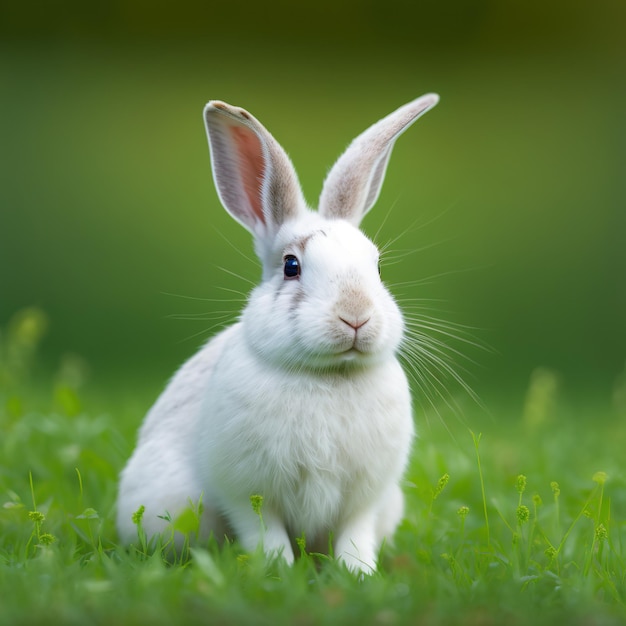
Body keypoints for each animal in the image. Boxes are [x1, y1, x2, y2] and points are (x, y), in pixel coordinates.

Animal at [117, 92, 438, 572]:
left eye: (378, 267)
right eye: (291, 266)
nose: (356, 316)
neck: (328, 376)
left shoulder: (365, 498)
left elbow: (355, 535)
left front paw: (358, 575)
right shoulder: (246, 491)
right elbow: (264, 532)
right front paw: (278, 572)